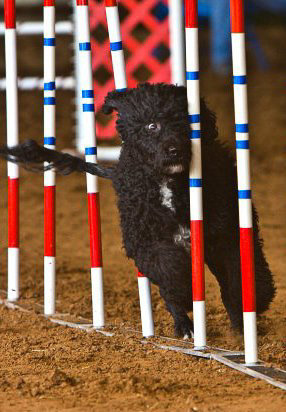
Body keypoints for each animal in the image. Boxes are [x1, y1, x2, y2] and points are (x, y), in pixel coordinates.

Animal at [1, 82, 276, 336]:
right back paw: (185, 325)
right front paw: (185, 297)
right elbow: (170, 273)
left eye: (185, 122)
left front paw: (251, 306)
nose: (175, 150)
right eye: (151, 126)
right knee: (168, 289)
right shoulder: (146, 242)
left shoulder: (225, 234)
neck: (167, 183)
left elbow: (238, 275)